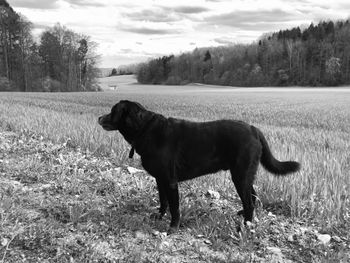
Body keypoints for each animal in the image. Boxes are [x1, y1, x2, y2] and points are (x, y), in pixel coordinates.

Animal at [97, 100, 300, 233]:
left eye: (112, 111)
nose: (99, 117)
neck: (145, 129)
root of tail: (253, 129)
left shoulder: (170, 181)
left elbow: (175, 208)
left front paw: (173, 227)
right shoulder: (160, 179)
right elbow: (163, 201)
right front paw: (159, 215)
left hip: (240, 175)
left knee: (250, 201)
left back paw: (244, 227)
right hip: (245, 174)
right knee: (252, 196)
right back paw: (244, 216)